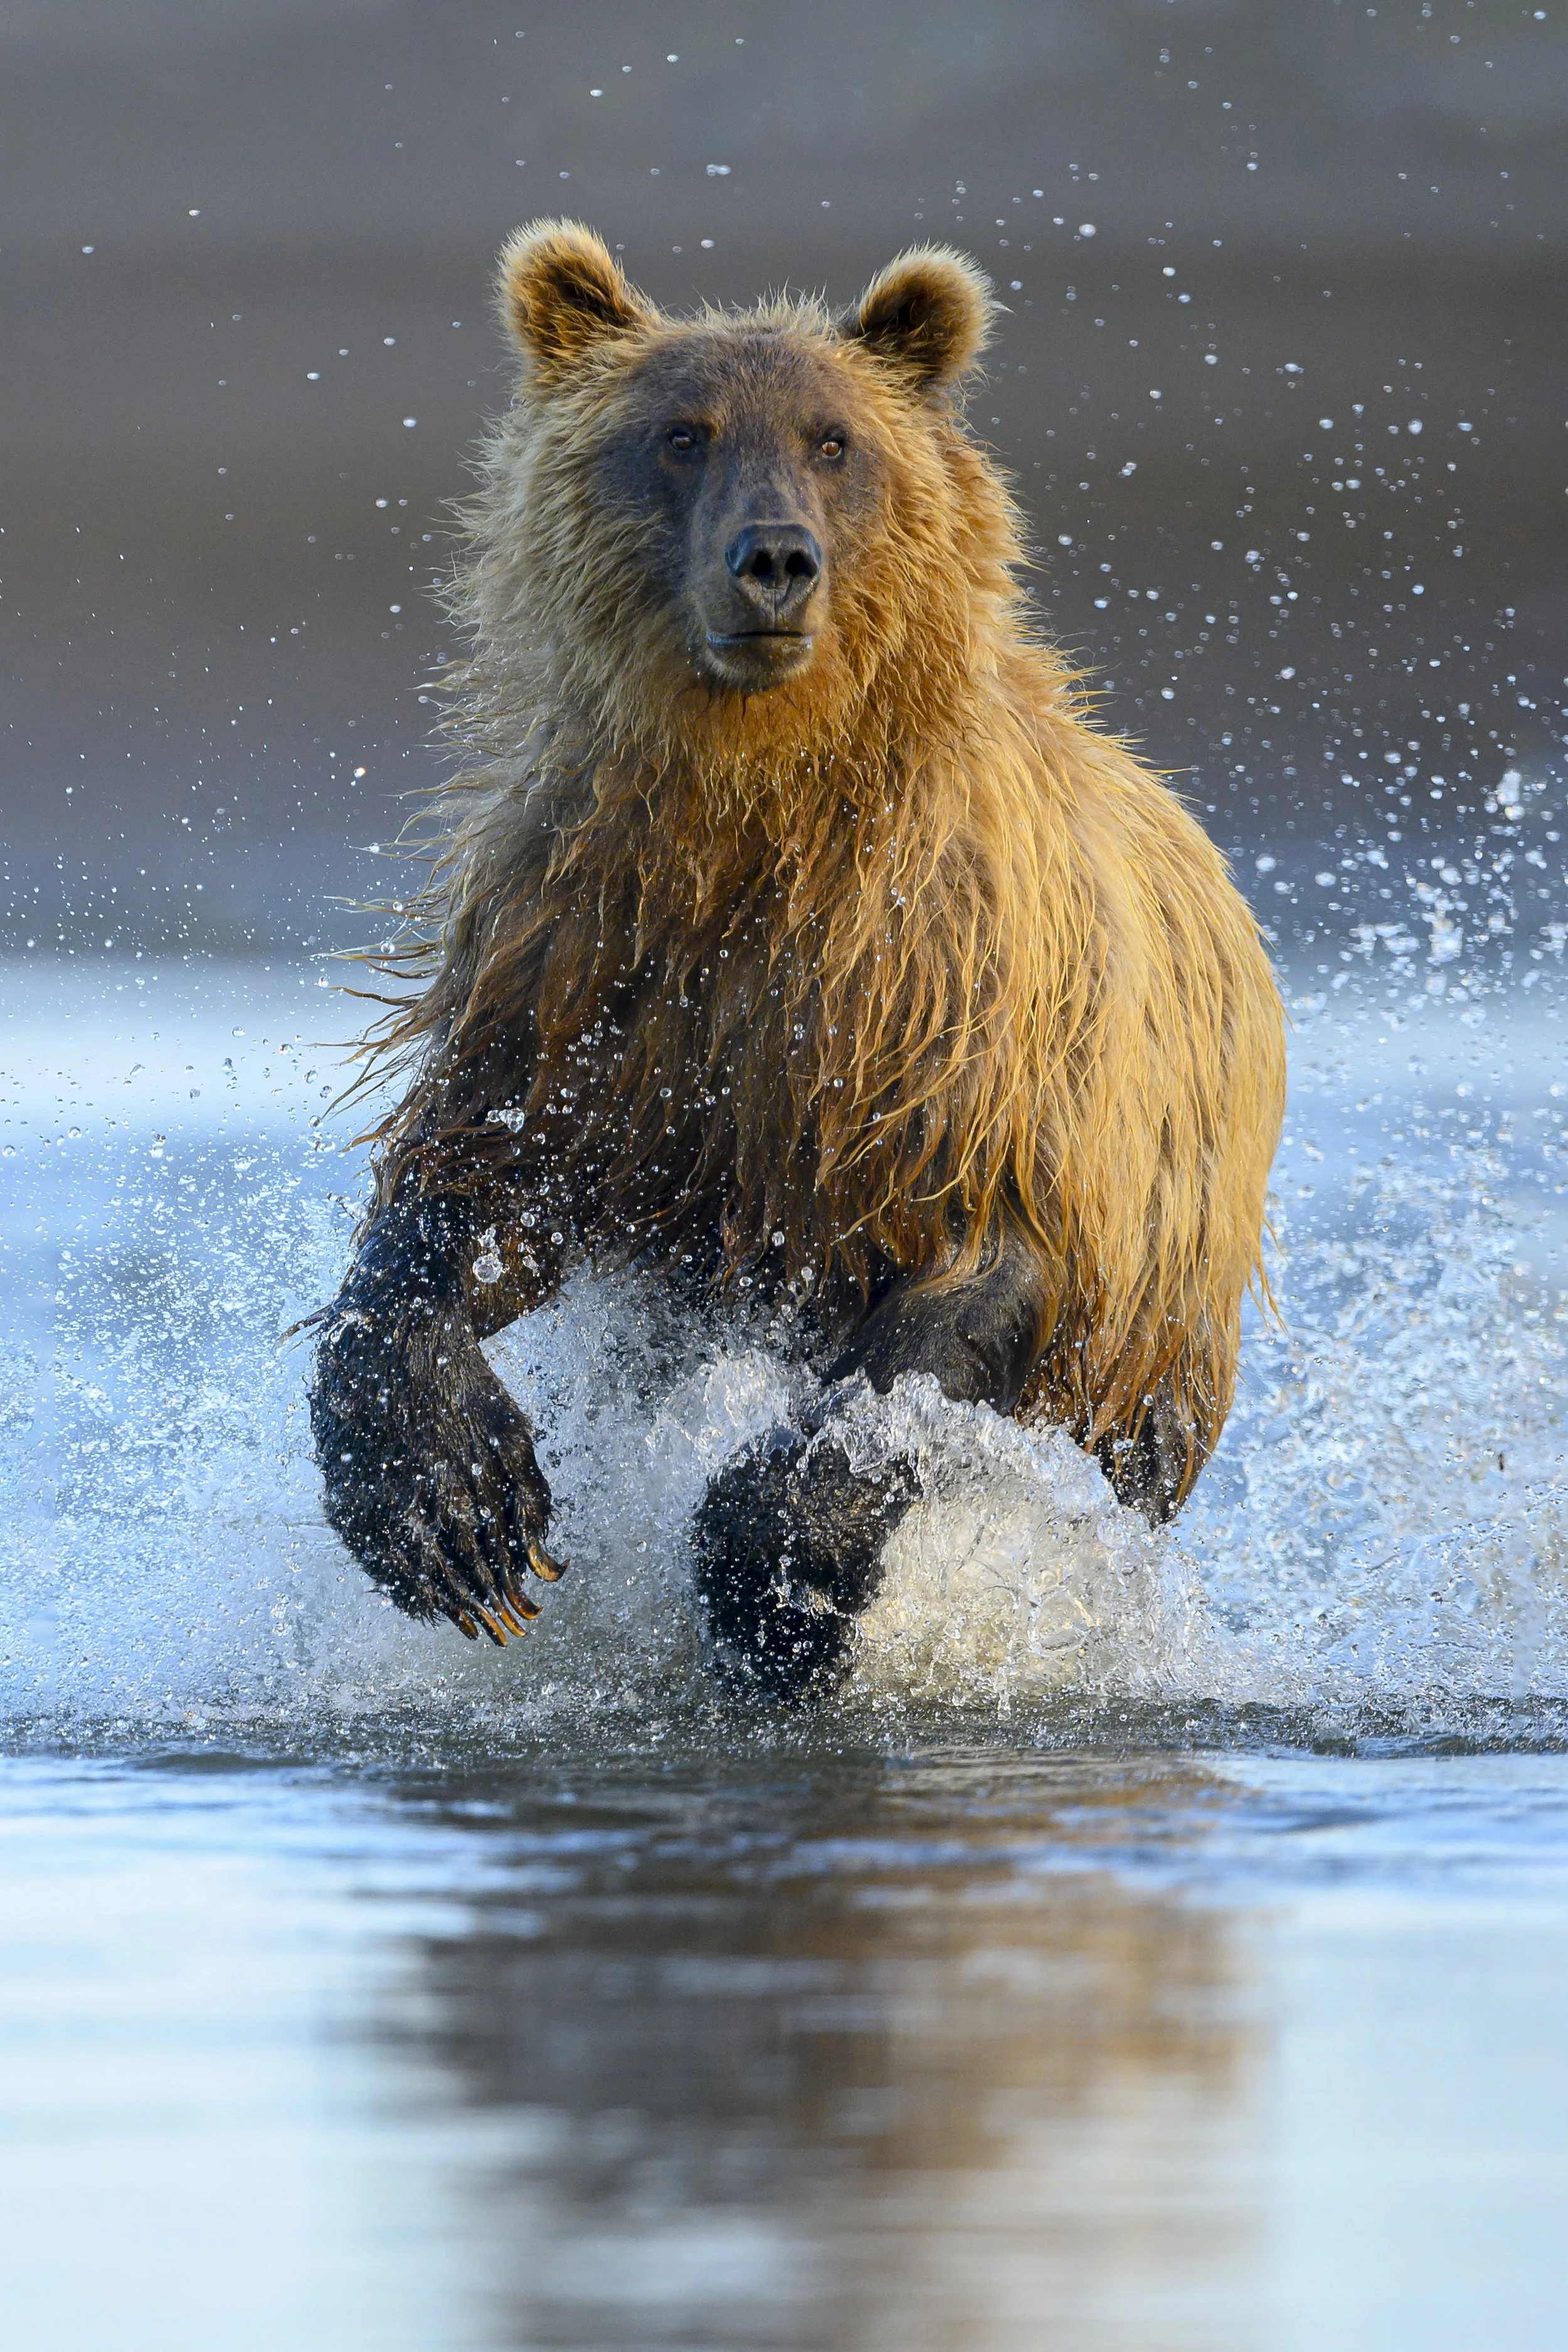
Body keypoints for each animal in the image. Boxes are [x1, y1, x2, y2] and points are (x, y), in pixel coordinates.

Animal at [309, 220, 1285, 1697]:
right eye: (680, 433)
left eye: (835, 441)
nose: (773, 560)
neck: (760, 816)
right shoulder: (587, 967)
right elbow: (470, 1191)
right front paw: (449, 1503)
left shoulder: (954, 1011)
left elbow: (953, 1301)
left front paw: (778, 1585)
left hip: (1159, 1334)